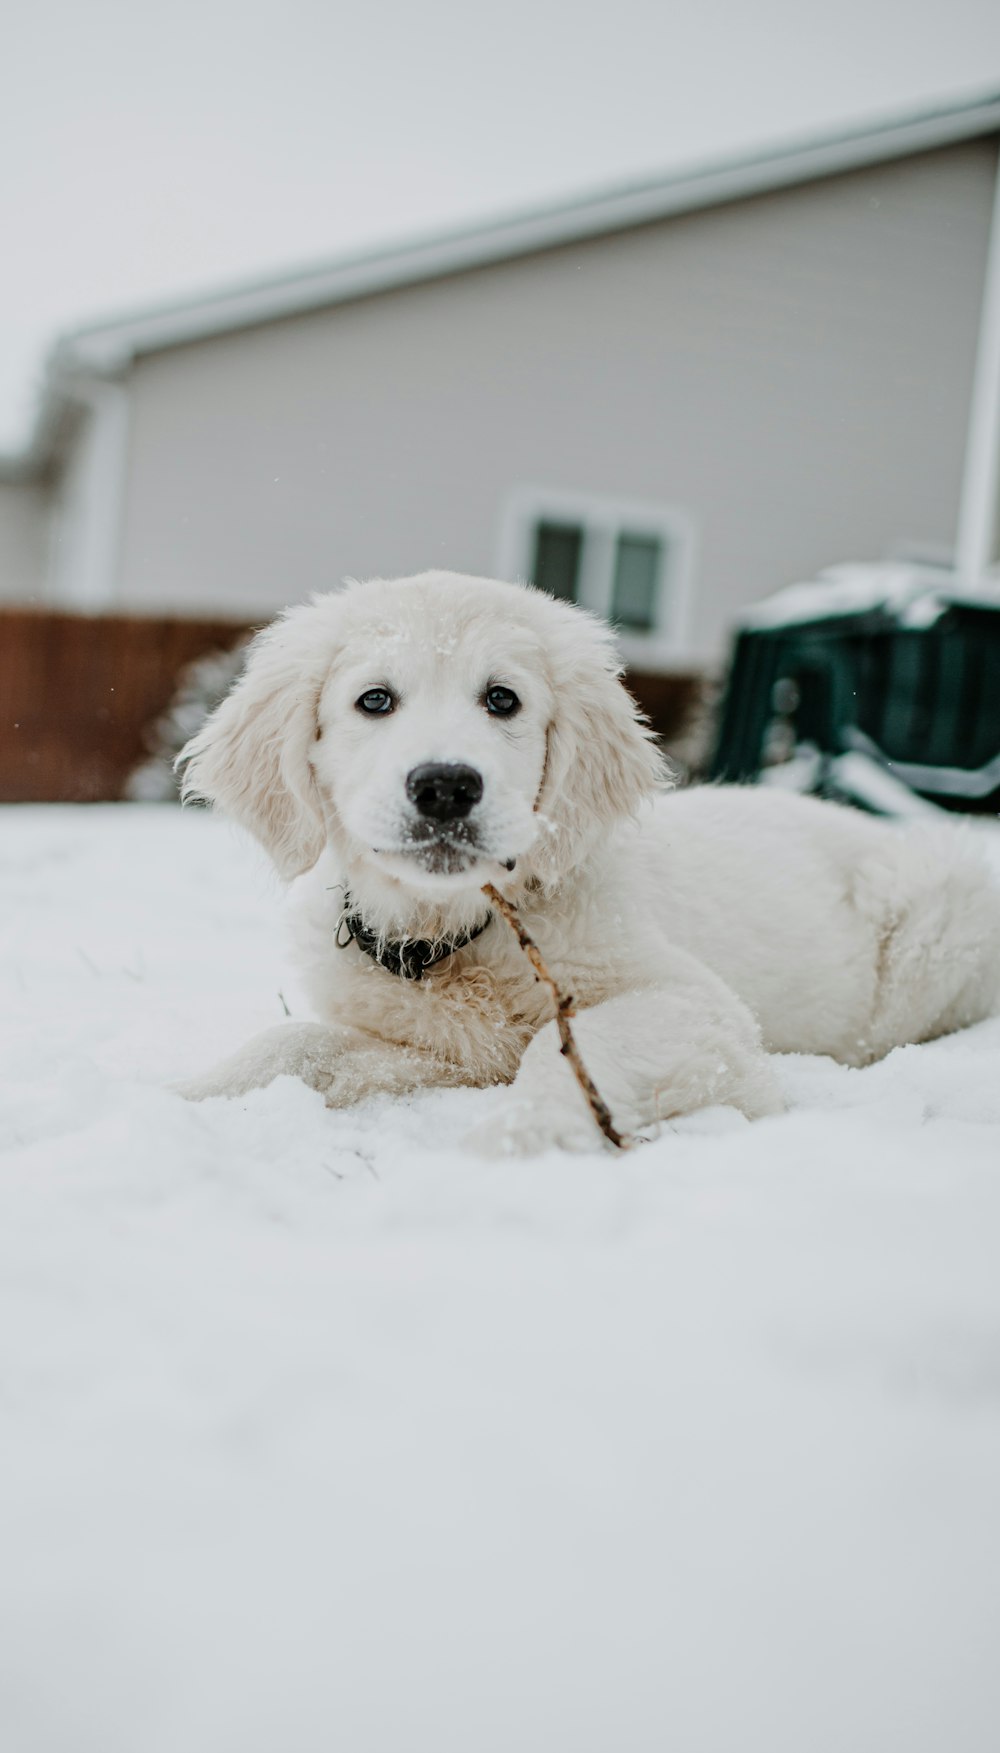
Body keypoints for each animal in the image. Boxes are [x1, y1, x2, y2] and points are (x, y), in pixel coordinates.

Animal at [178, 571, 996, 1149]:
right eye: (374, 700)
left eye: (502, 699)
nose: (445, 786)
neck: (460, 931)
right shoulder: (445, 1047)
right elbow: (291, 1043)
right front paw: (178, 1098)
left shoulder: (698, 1007)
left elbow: (571, 1042)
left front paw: (521, 1138)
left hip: (934, 929)